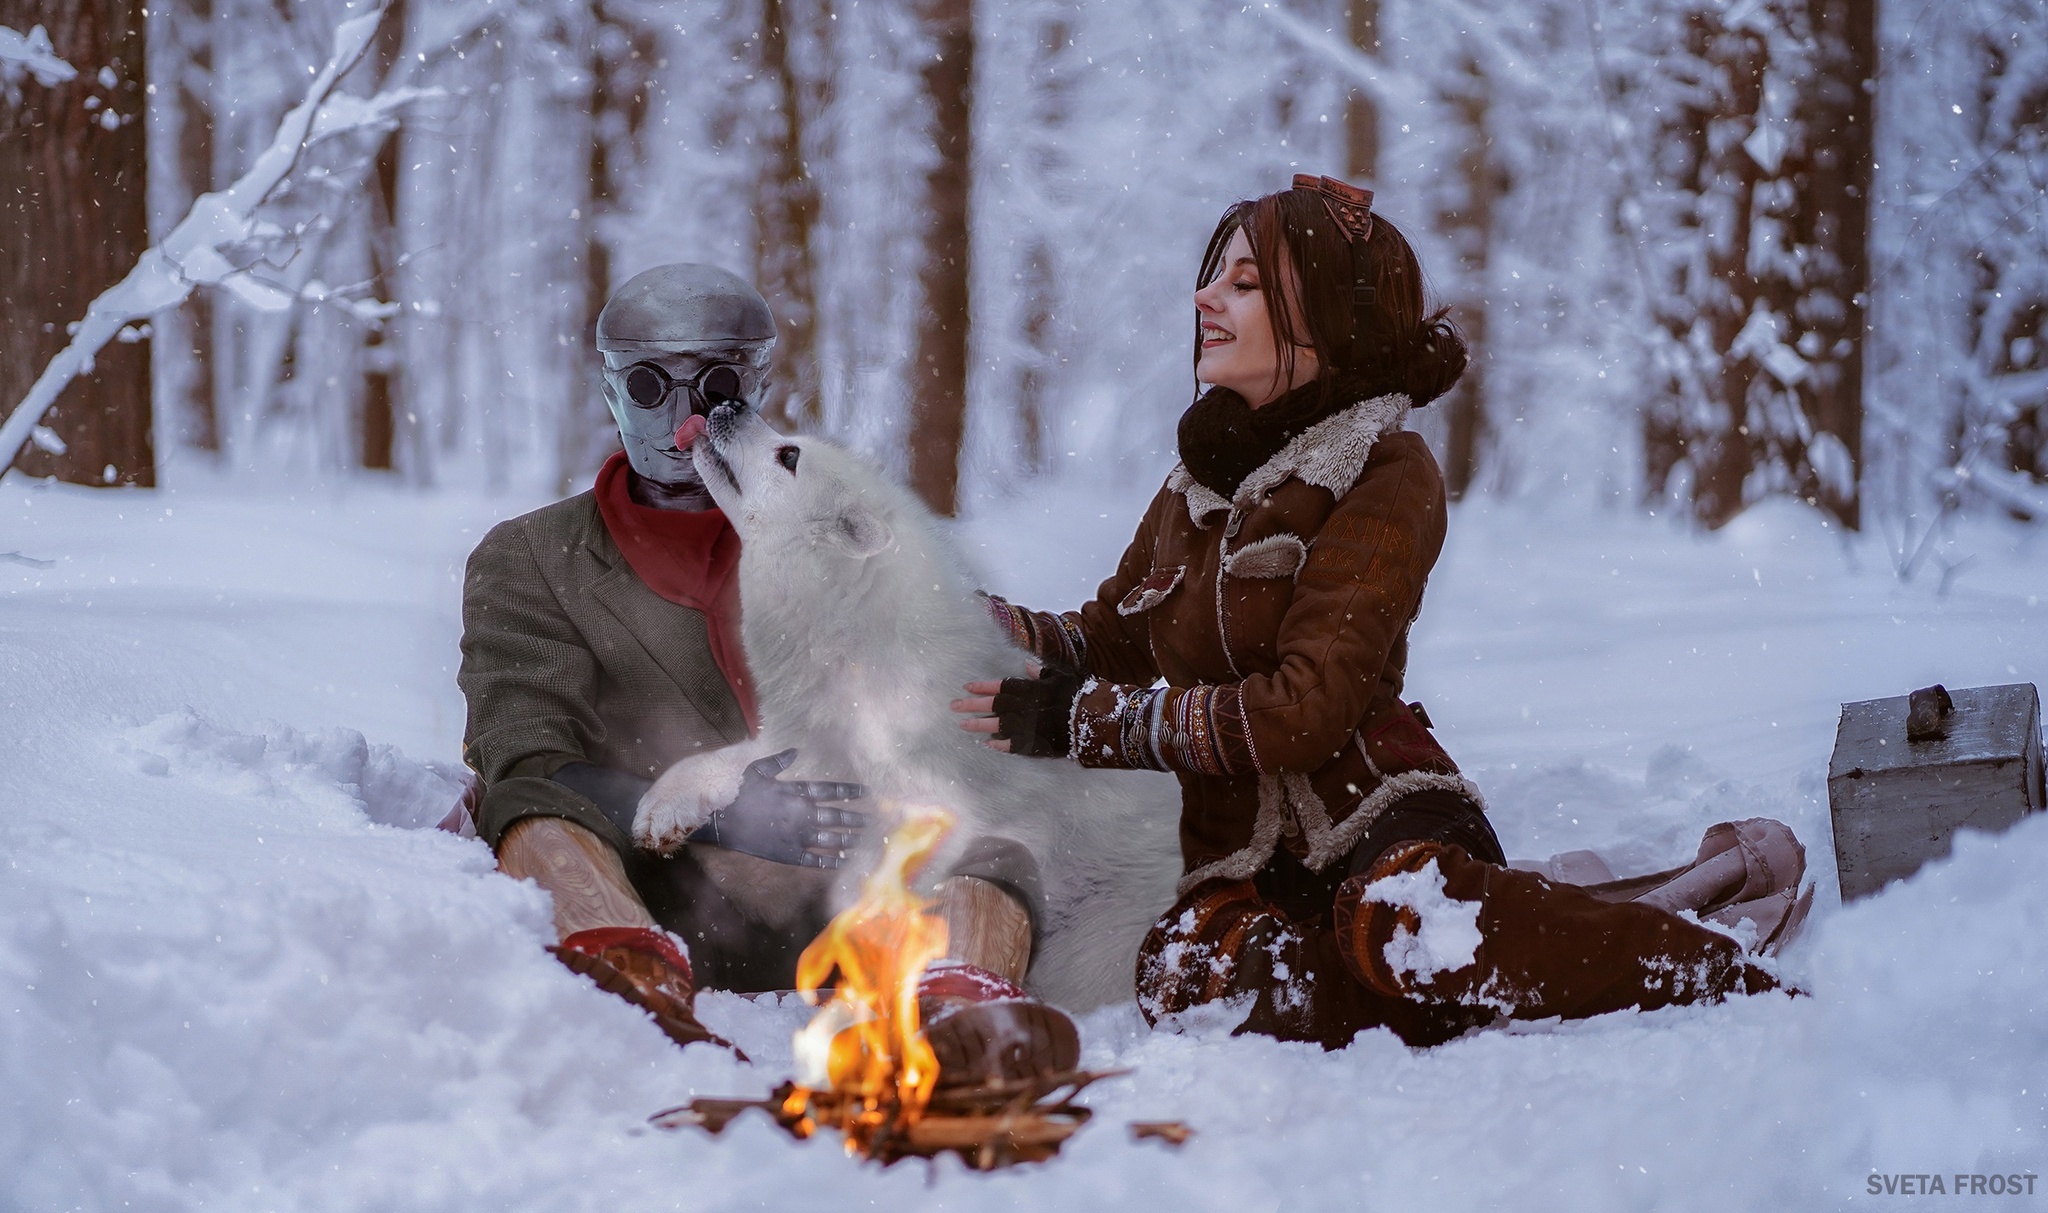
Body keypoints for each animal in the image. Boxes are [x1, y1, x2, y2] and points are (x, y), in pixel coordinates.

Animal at [638, 405, 1187, 1004]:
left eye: (790, 455)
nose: (728, 406)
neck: (858, 650)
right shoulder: (810, 742)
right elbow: (723, 765)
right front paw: (661, 813)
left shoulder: (945, 794)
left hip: (1100, 934)